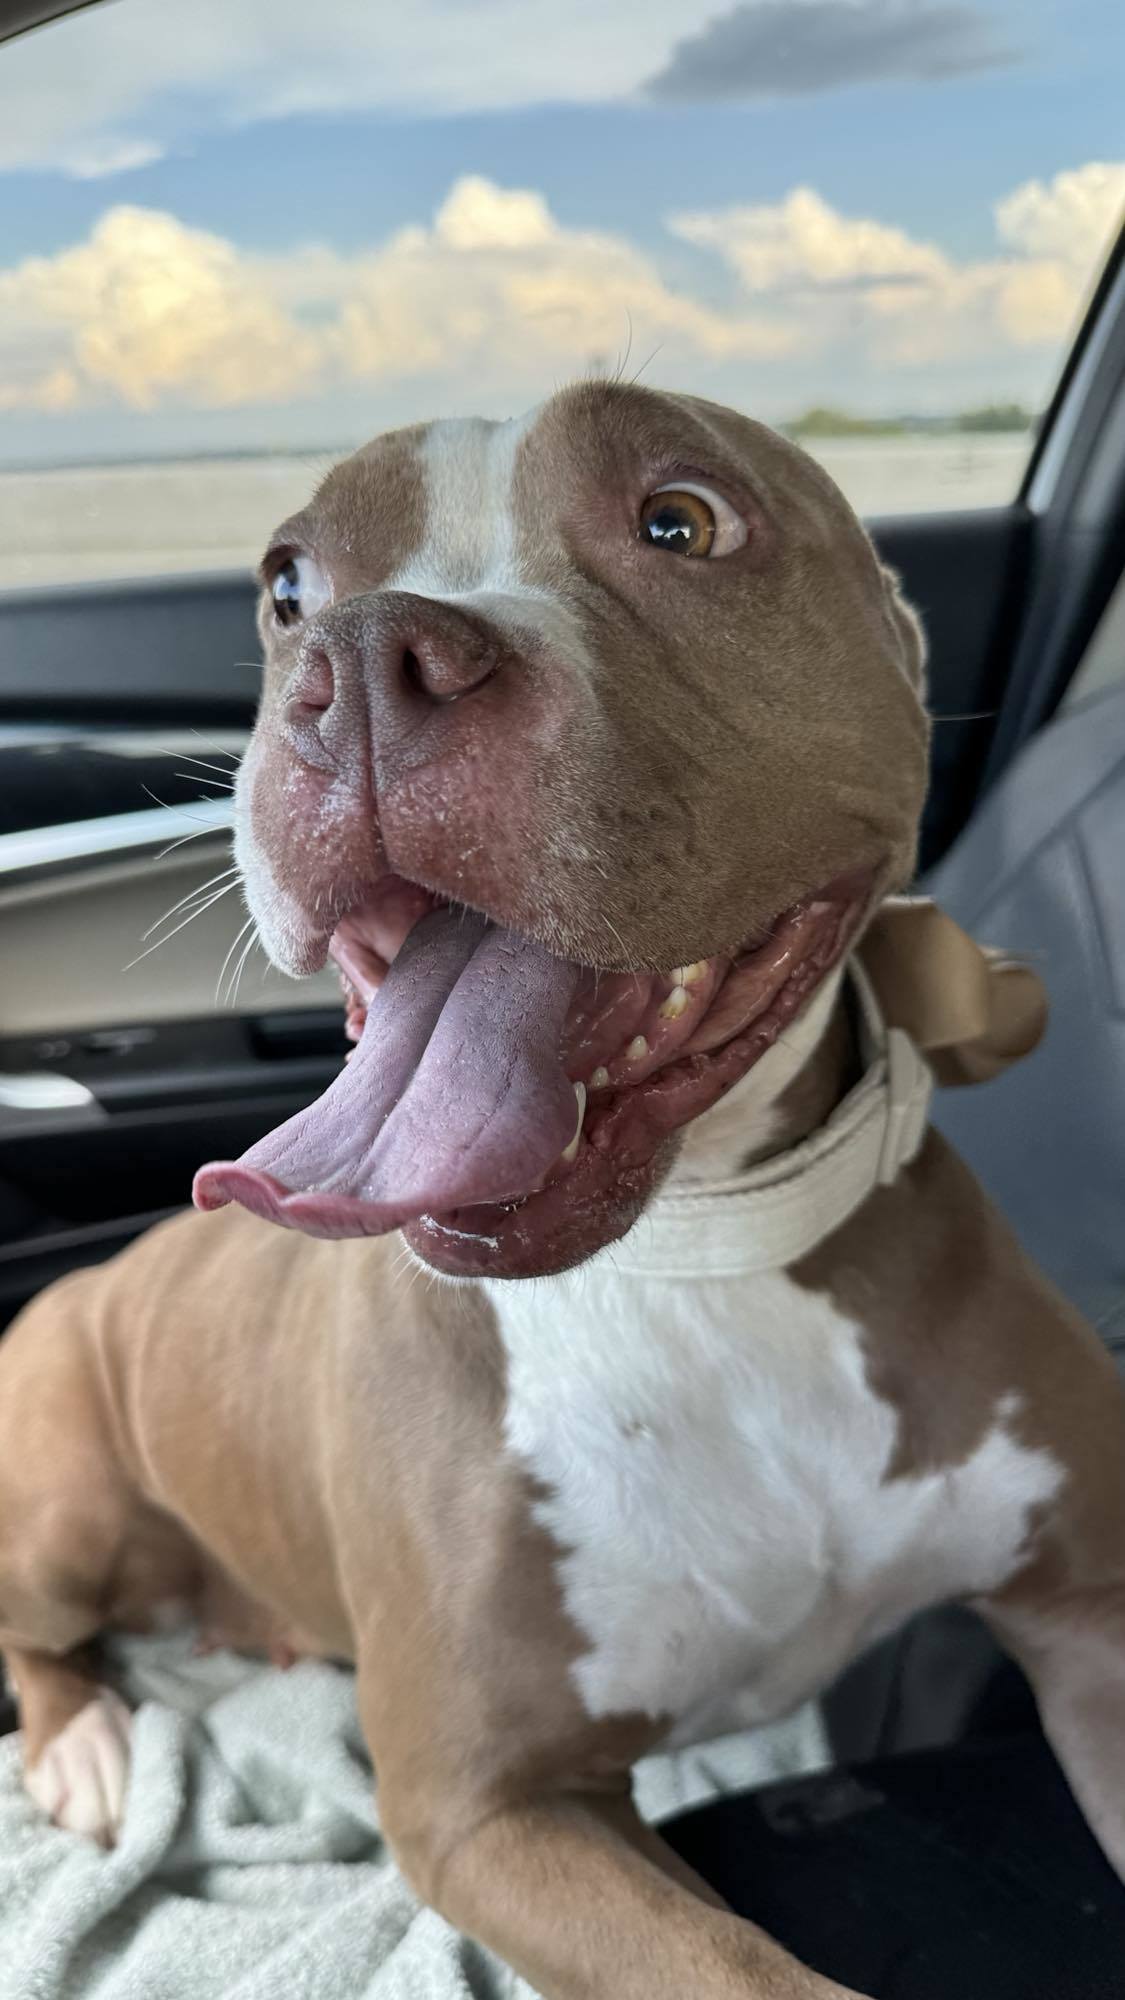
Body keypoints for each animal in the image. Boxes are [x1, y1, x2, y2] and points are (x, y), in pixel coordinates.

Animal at [2, 378, 1120, 2000]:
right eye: (287, 587)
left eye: (684, 519)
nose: (360, 660)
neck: (709, 1255)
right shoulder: (489, 1809)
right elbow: (745, 1972)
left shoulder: (1090, 1617)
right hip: (62, 1495)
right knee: (40, 1629)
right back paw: (86, 1747)